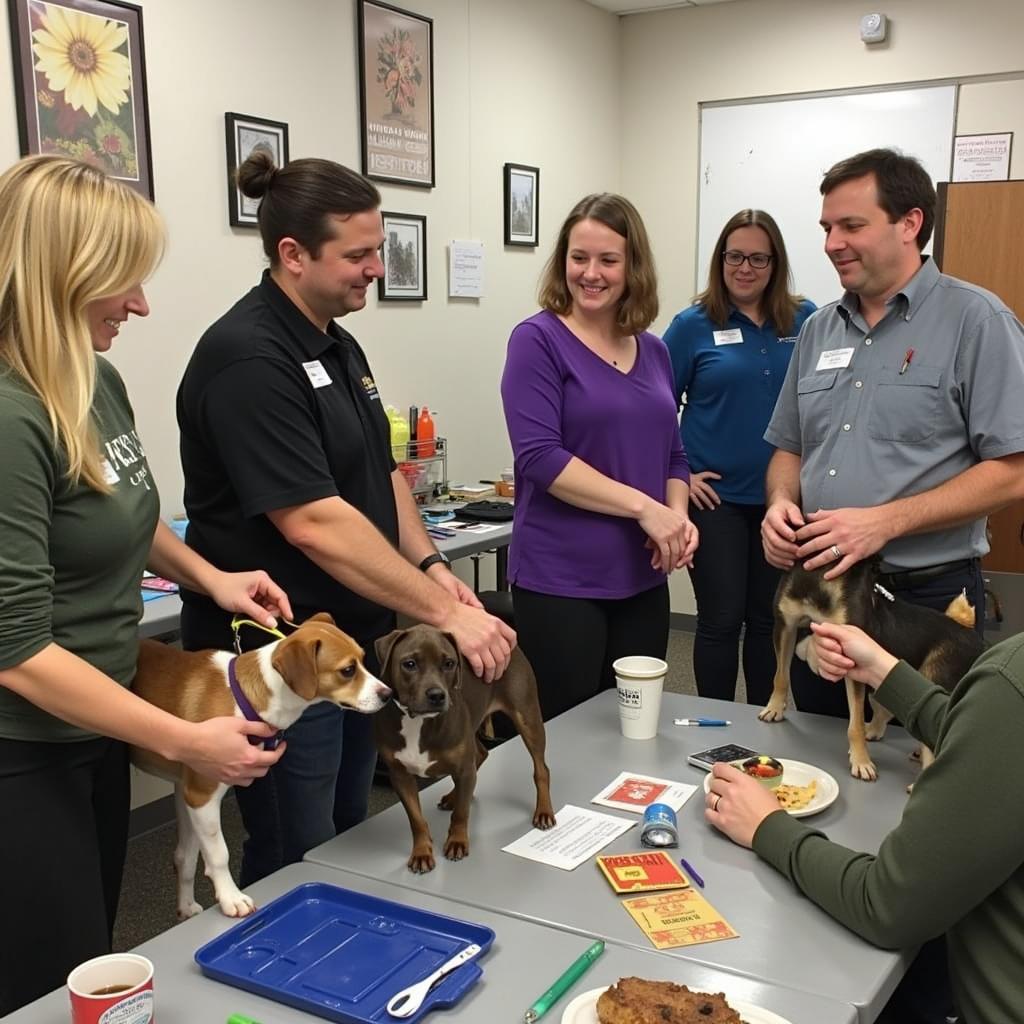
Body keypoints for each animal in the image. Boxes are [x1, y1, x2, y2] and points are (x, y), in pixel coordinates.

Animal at [134, 614, 389, 921]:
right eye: (348, 670)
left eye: (363, 659)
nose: (388, 694)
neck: (243, 699)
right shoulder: (201, 795)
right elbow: (218, 854)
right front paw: (231, 897)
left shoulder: (186, 791)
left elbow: (186, 856)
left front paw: (186, 906)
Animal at [761, 557, 983, 778]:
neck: (818, 571)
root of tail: (968, 633)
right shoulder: (785, 627)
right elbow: (780, 676)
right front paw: (774, 707)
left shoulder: (851, 652)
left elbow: (855, 724)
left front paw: (861, 761)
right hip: (881, 686)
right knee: (887, 712)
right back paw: (879, 734)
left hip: (934, 676)